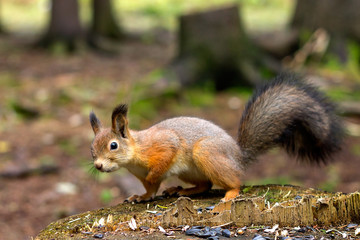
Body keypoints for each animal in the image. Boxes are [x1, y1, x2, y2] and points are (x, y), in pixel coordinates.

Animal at [88, 73, 342, 202]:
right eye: (92, 149)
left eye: (113, 145)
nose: (98, 166)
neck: (135, 153)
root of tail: (239, 156)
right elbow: (150, 190)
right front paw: (141, 196)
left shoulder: (164, 144)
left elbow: (163, 162)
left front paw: (153, 179)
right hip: (191, 171)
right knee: (206, 184)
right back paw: (183, 191)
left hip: (206, 153)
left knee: (233, 182)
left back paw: (229, 194)